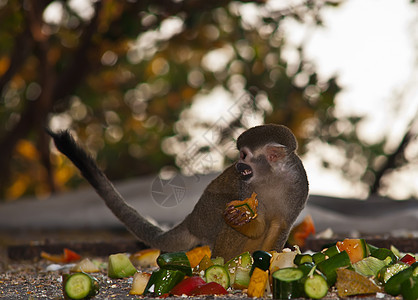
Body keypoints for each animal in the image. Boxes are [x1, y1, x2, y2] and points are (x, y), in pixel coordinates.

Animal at [49, 123, 310, 258]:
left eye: (244, 155)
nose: (237, 166)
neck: (273, 176)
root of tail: (191, 218)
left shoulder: (299, 186)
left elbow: (281, 225)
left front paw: (272, 259)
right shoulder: (246, 186)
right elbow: (256, 222)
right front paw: (241, 220)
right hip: (205, 215)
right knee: (222, 209)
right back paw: (221, 260)